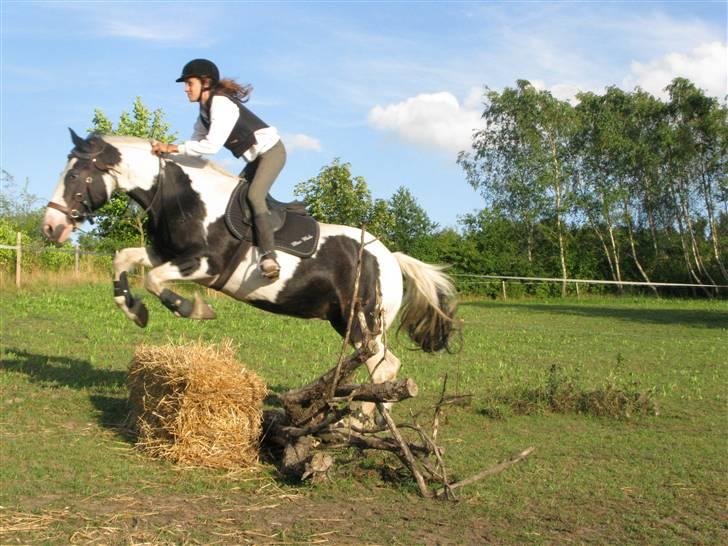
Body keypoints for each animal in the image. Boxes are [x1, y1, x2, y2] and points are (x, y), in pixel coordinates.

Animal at [42, 129, 458, 416]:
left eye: (75, 176)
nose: (50, 227)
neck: (188, 199)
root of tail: (391, 259)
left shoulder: (205, 266)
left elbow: (154, 279)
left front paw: (193, 309)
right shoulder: (165, 253)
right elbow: (122, 260)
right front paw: (135, 310)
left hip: (362, 320)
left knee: (384, 366)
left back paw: (361, 420)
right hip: (346, 321)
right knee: (383, 365)